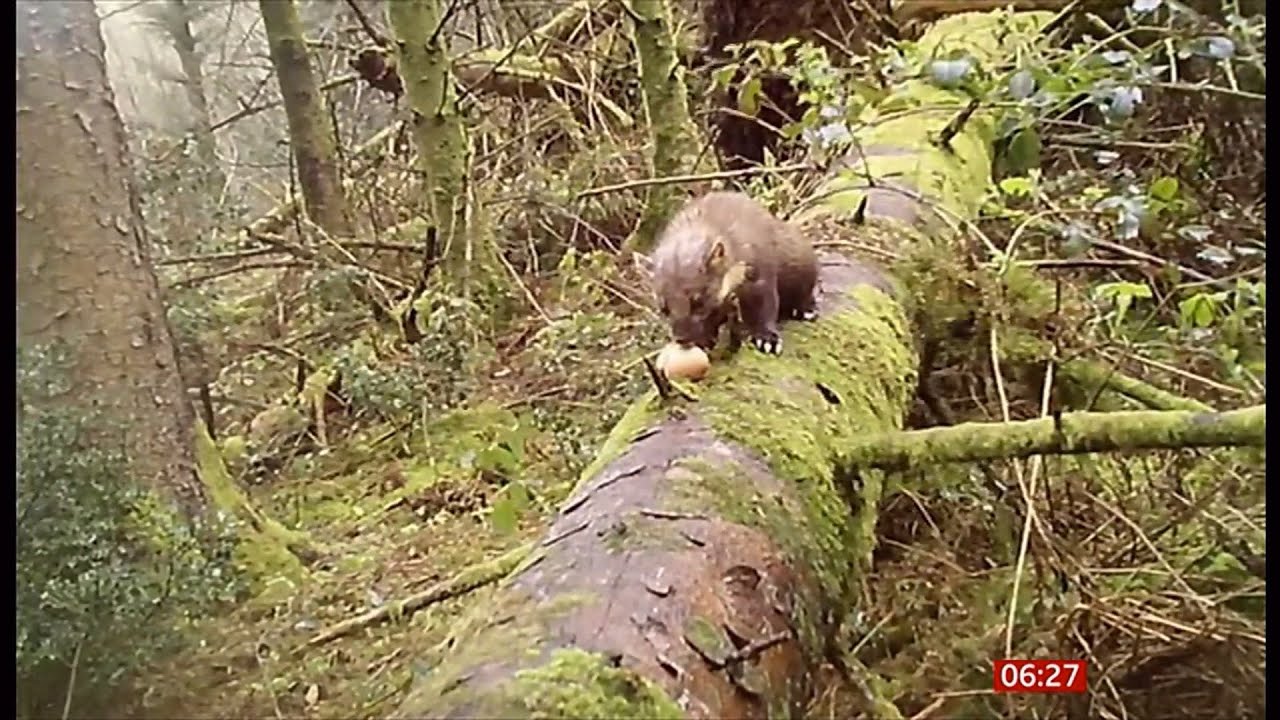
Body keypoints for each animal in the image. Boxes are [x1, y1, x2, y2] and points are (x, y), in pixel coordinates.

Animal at [636, 191, 818, 355]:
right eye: (663, 308)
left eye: (699, 301)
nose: (682, 338)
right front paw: (704, 341)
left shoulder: (758, 272)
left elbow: (765, 308)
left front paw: (767, 340)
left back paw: (806, 310)